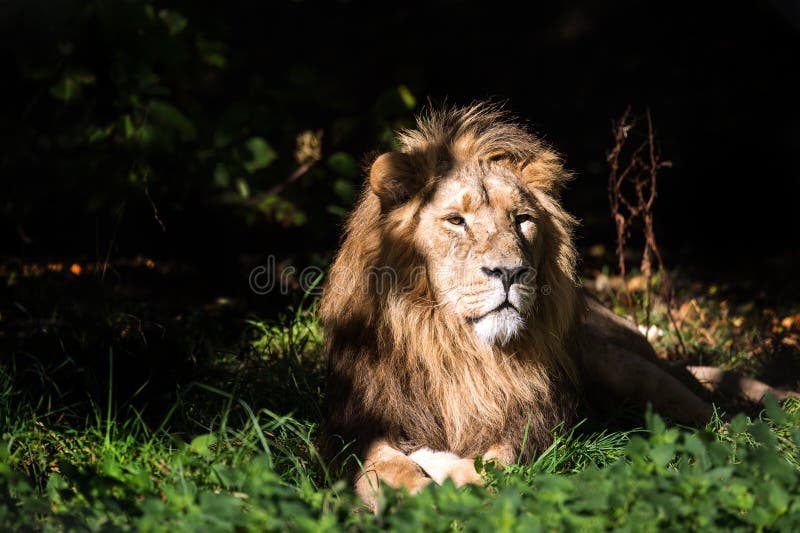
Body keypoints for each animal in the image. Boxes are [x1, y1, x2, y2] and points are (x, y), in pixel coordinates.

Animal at [318, 103, 783, 511]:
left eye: (522, 219)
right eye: (455, 221)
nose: (509, 272)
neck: (458, 349)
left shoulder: (531, 424)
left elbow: (489, 464)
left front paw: (456, 478)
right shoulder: (355, 426)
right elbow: (381, 466)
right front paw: (418, 491)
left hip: (623, 365)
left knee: (718, 420)